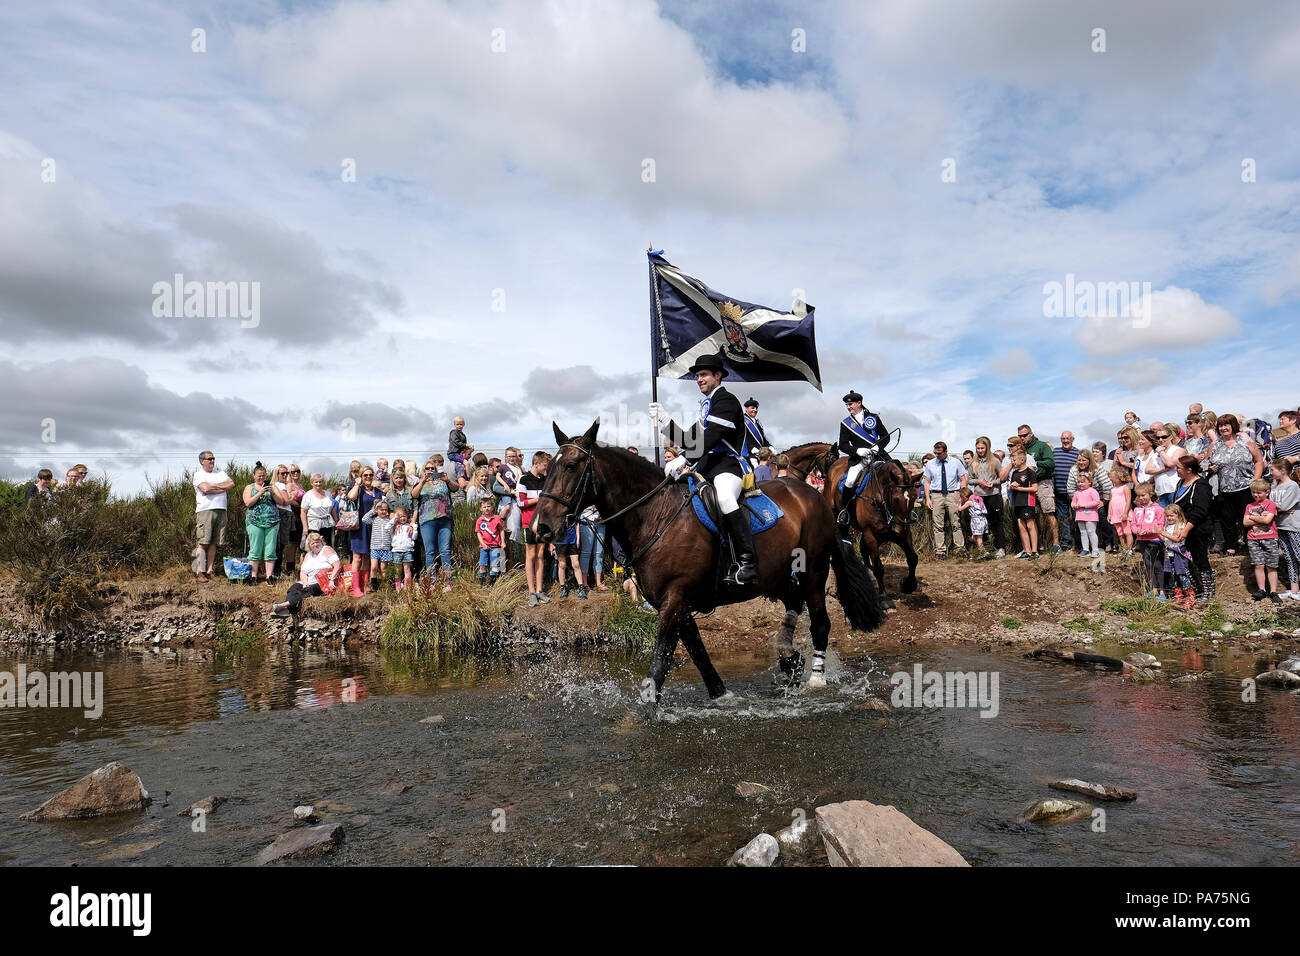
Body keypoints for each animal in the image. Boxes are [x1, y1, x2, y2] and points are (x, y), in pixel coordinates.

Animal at [530, 421, 883, 712]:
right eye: (547, 471)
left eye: (571, 466)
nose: (541, 528)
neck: (655, 514)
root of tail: (814, 496)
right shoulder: (675, 602)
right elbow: (697, 652)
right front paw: (721, 694)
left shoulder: (674, 599)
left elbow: (661, 659)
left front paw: (647, 711)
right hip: (779, 577)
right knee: (794, 605)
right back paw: (788, 657)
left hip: (813, 572)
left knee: (820, 622)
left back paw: (815, 679)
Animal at [774, 444, 920, 608]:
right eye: (896, 499)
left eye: (914, 498)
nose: (899, 528)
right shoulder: (870, 535)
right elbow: (878, 567)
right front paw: (884, 597)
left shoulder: (903, 534)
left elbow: (913, 558)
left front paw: (909, 585)